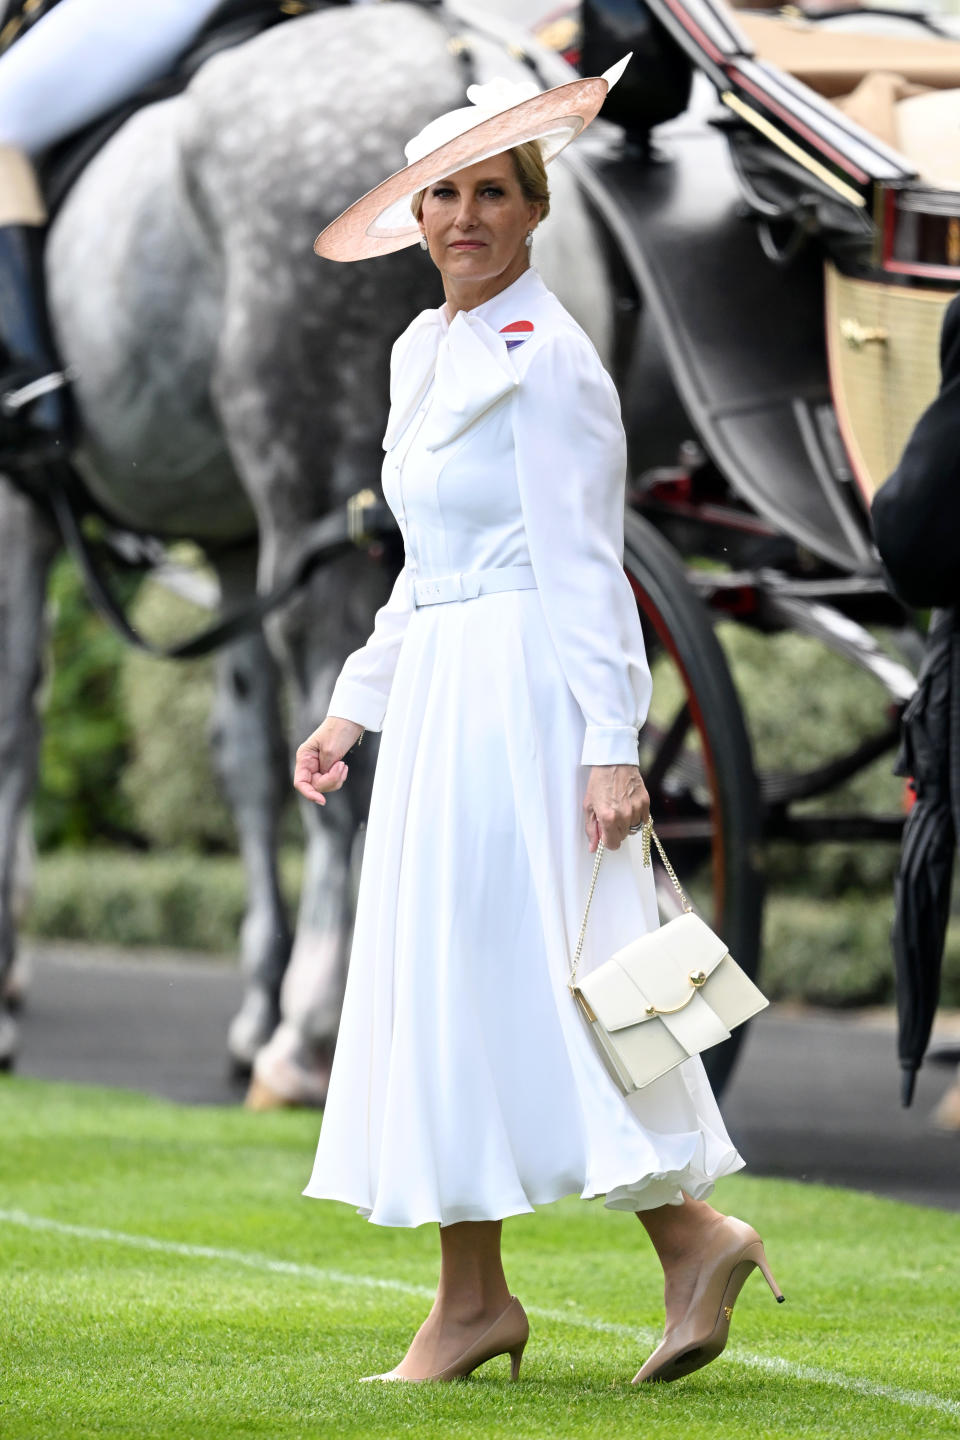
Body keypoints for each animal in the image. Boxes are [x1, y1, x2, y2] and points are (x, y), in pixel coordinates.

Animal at [0, 2, 616, 1088]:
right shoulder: (234, 540)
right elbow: (245, 755)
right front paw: (253, 995)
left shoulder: (18, 502)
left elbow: (13, 725)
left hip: (323, 510)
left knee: (352, 738)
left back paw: (317, 1024)